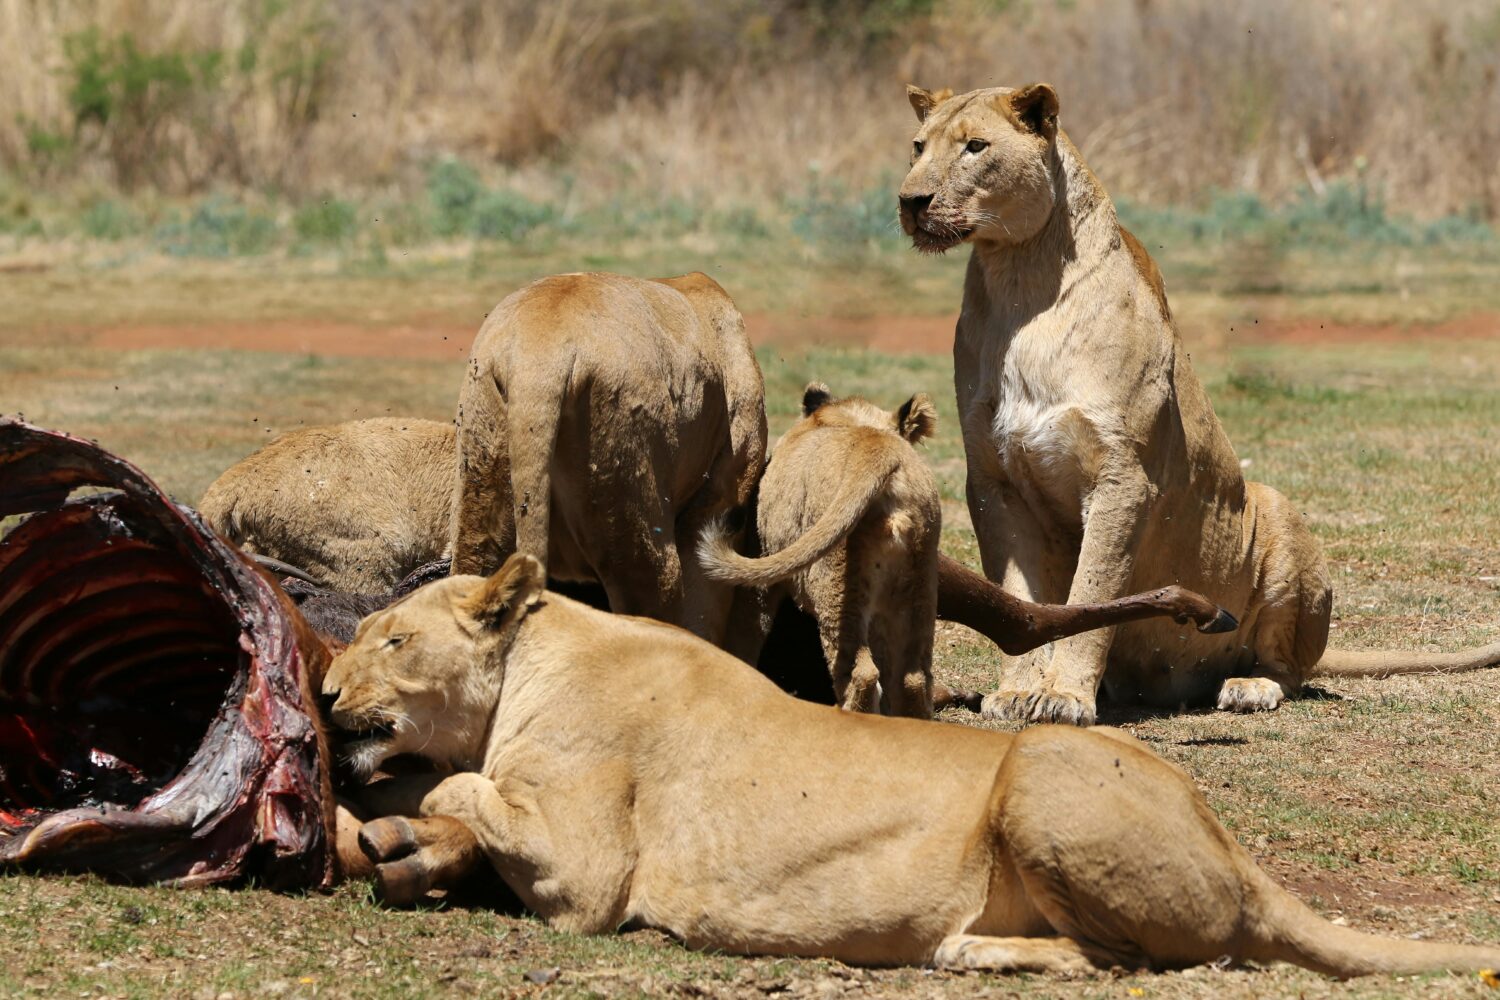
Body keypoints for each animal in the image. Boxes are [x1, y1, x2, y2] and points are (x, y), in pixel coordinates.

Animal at [320, 554, 1500, 976]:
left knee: (1137, 962)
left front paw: (404, 816)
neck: (539, 653)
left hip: (1046, 767)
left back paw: (968, 951)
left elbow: (461, 783)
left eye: (392, 638)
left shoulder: (588, 875)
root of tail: (1240, 853)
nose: (325, 696)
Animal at [898, 83, 1500, 724]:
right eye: (918, 146)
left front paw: (1063, 695)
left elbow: (1093, 588)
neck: (1018, 282)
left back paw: (1248, 686)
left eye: (975, 147)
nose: (910, 200)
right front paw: (1016, 691)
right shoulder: (993, 481)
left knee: (1289, 668)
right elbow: (1018, 594)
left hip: (1279, 515)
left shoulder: (1123, 476)